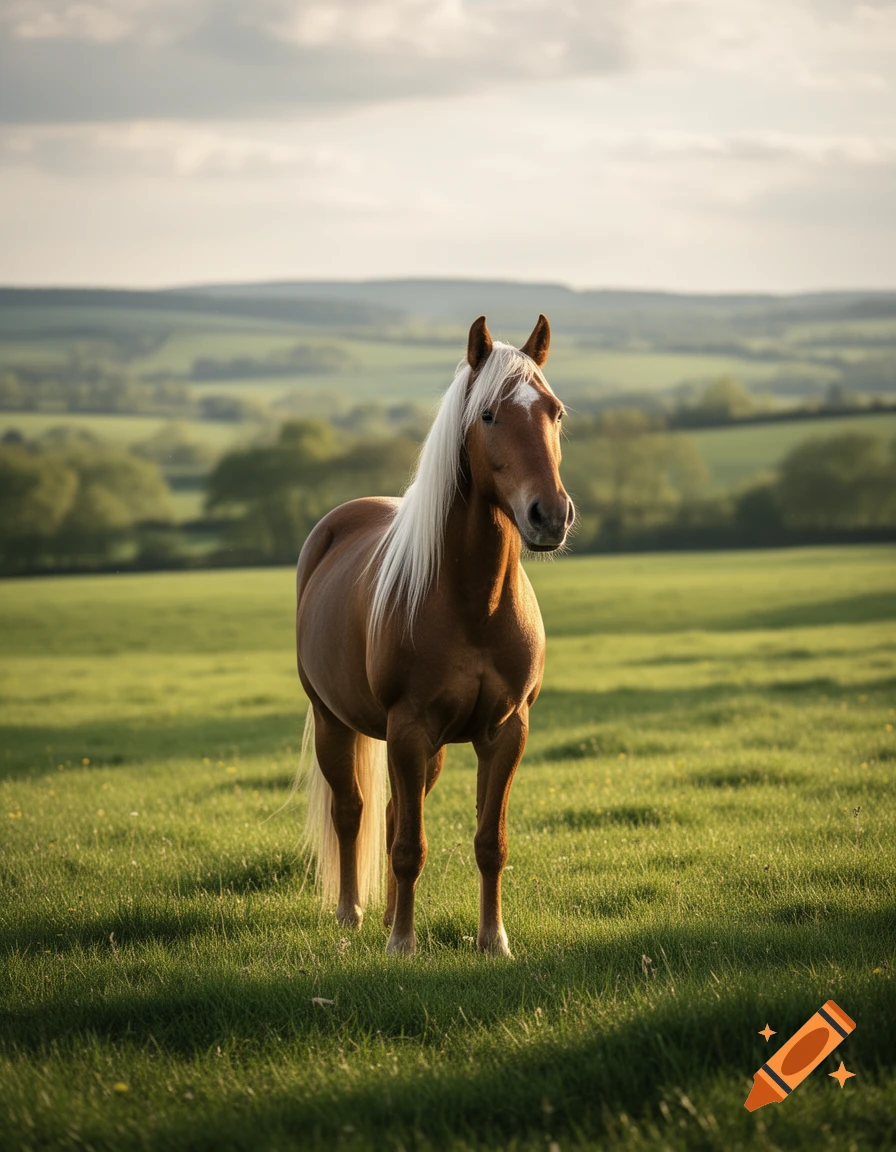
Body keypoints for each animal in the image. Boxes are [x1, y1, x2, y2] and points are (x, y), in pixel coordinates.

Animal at [295, 314, 573, 956]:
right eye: (489, 415)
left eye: (555, 412)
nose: (550, 515)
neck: (474, 604)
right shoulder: (408, 728)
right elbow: (406, 847)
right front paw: (403, 944)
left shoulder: (505, 732)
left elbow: (488, 843)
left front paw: (493, 940)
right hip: (335, 721)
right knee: (353, 812)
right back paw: (352, 915)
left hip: (431, 749)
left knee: (394, 812)